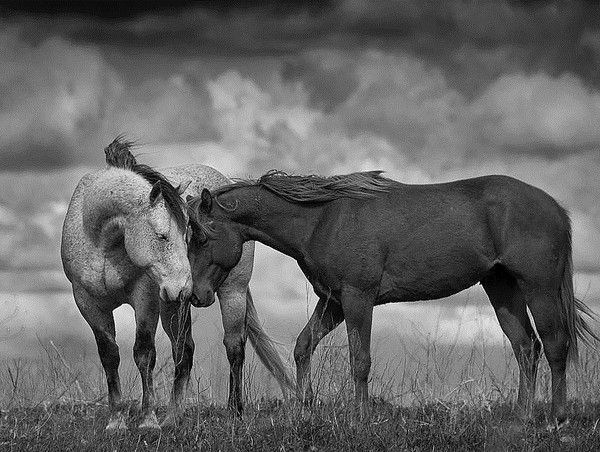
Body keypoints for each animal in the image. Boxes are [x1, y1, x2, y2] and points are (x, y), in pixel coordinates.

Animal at [61, 139, 292, 432]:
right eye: (162, 235)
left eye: (187, 234)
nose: (185, 288)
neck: (103, 244)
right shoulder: (89, 304)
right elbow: (110, 356)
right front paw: (116, 421)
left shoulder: (145, 299)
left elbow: (144, 353)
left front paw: (148, 421)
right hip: (171, 306)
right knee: (184, 349)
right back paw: (173, 416)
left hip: (230, 292)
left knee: (233, 347)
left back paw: (234, 413)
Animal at [186, 171, 596, 426]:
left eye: (202, 236)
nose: (197, 295)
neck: (322, 219)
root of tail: (555, 207)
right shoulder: (333, 301)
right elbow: (303, 346)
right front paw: (305, 408)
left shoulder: (358, 298)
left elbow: (360, 360)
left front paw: (360, 418)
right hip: (501, 287)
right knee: (526, 346)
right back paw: (523, 417)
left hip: (539, 288)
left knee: (555, 345)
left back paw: (556, 419)